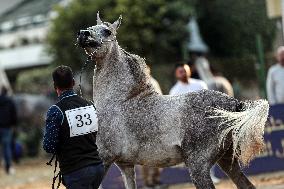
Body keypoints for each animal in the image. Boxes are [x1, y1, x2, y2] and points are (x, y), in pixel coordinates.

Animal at [77, 13, 268, 189]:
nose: (83, 34)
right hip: (227, 161)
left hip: (198, 166)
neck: (118, 101)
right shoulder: (126, 165)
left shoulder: (104, 159)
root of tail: (235, 104)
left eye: (107, 31)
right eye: (90, 27)